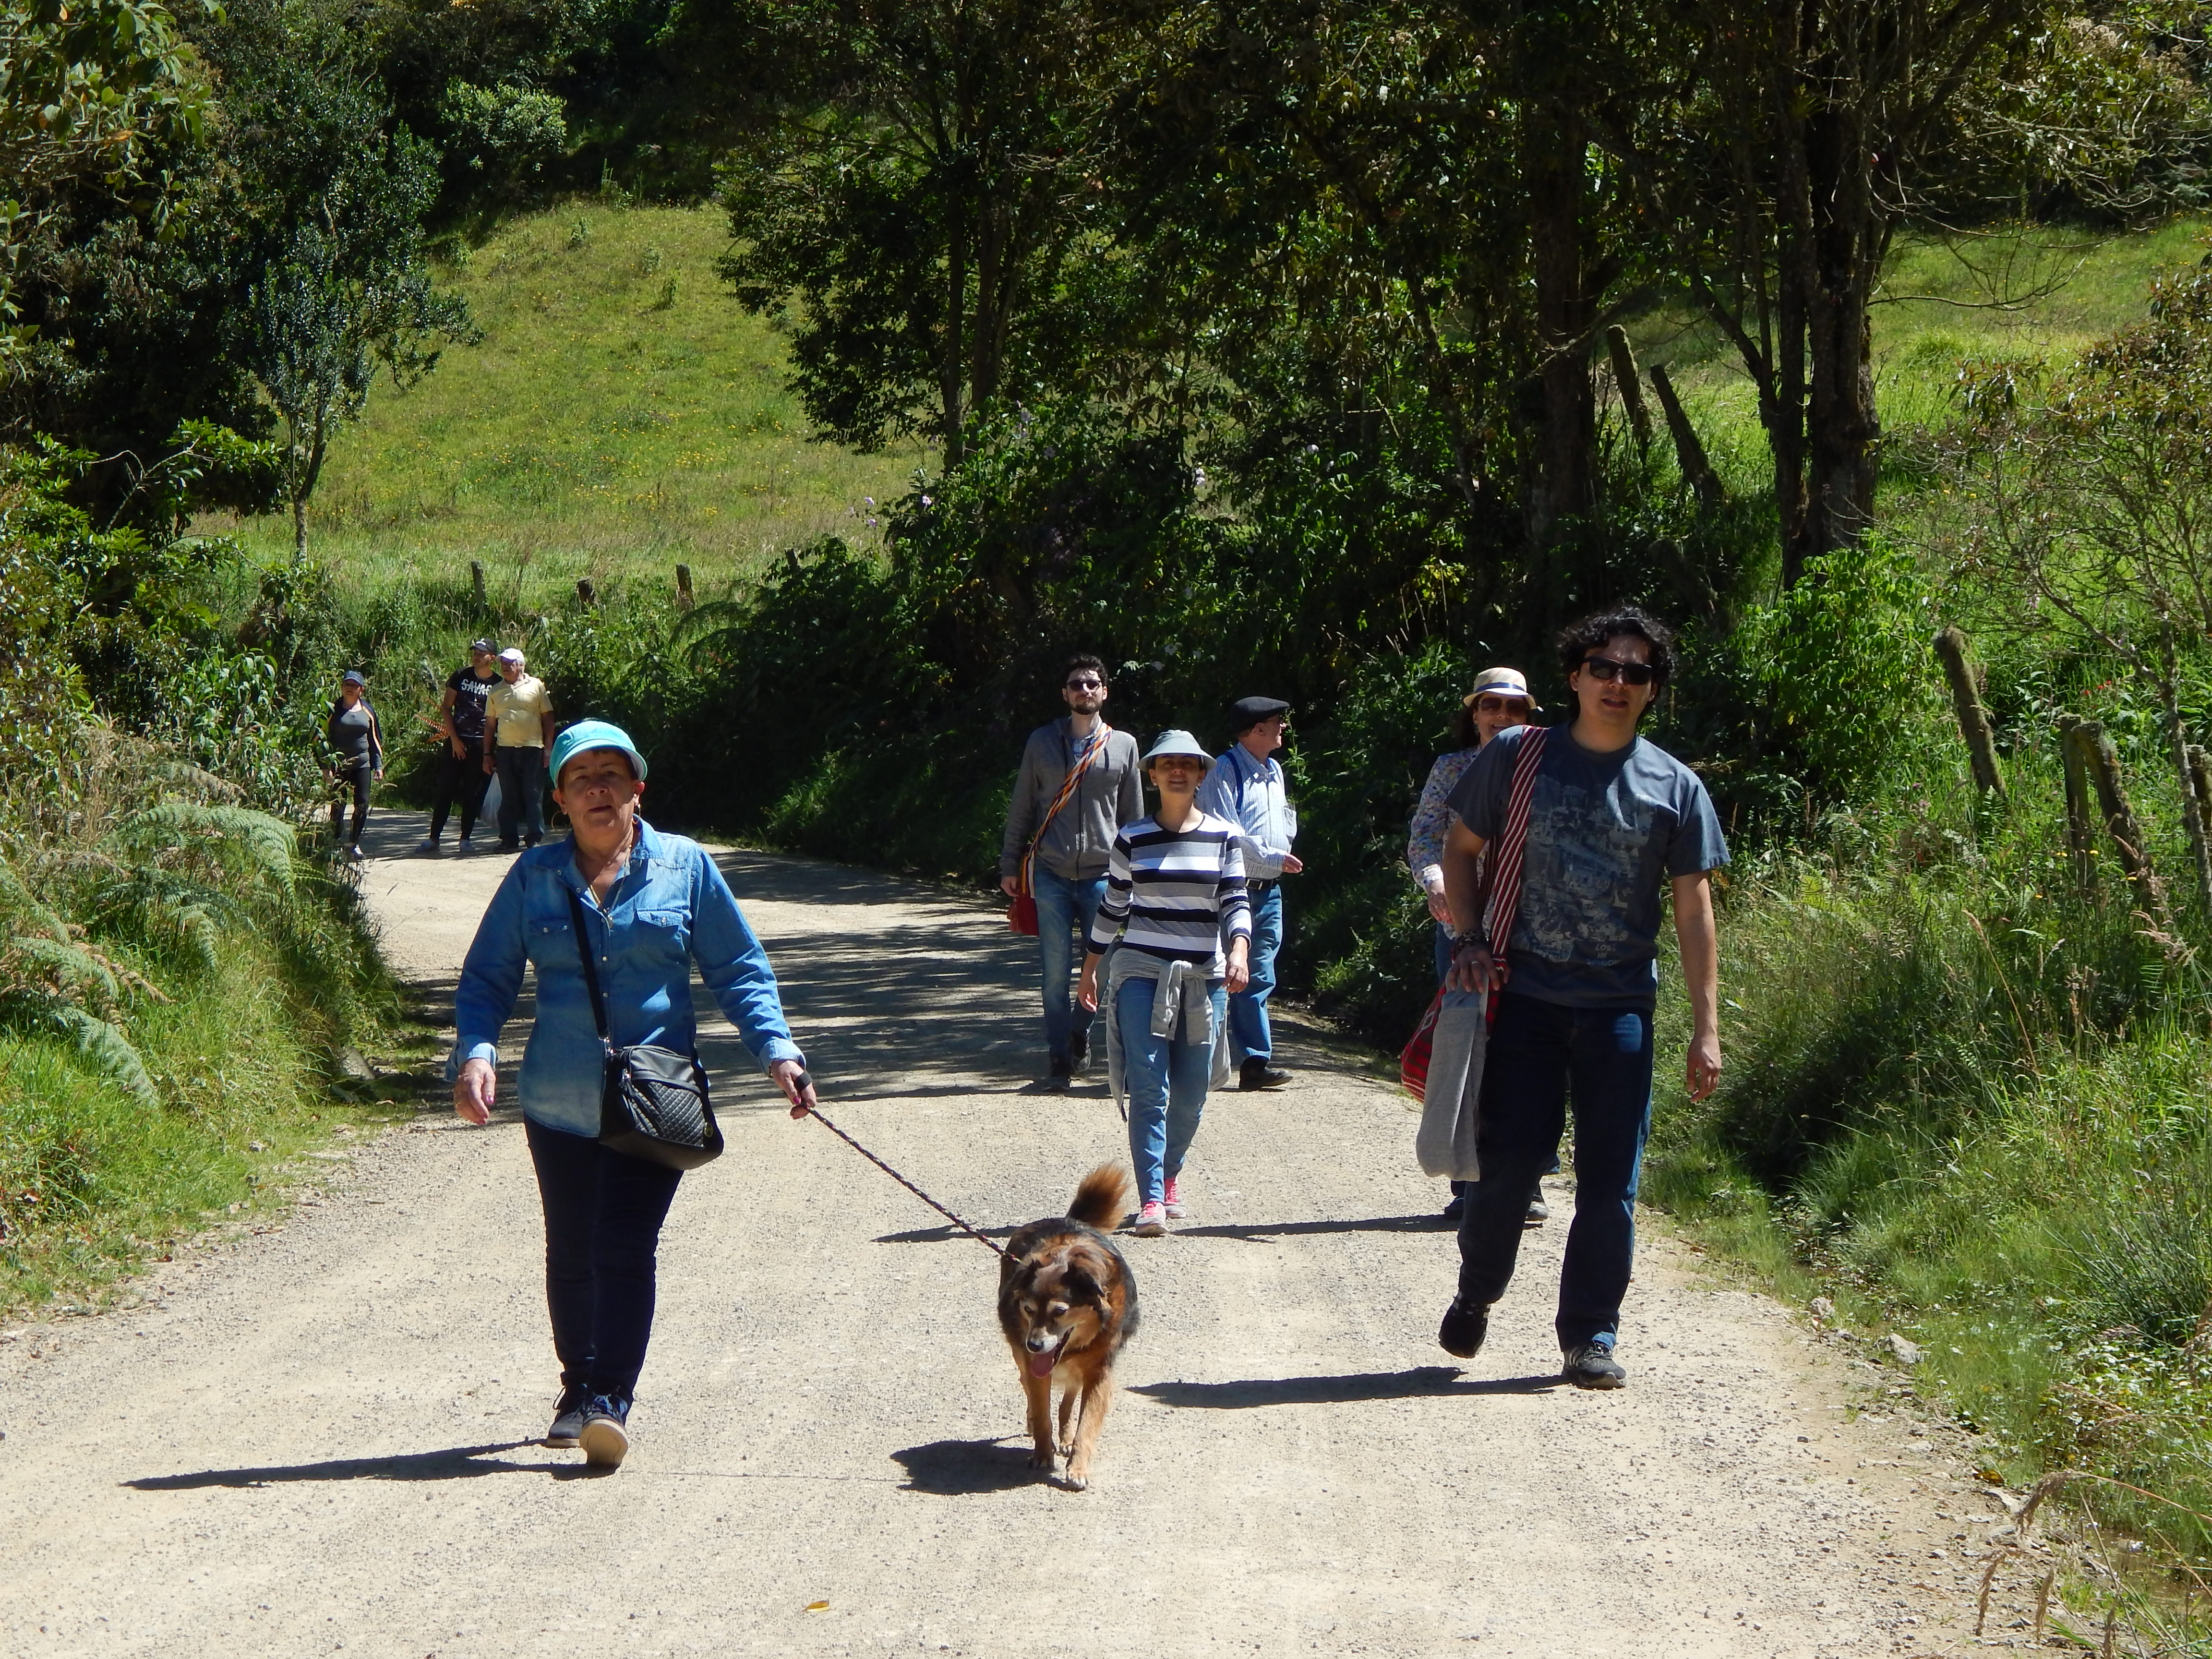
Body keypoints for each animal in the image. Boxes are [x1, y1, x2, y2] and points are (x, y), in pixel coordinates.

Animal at [1004, 1168, 1141, 1495]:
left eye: (1059, 1312)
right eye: (1028, 1310)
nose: (1034, 1345)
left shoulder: (1099, 1373)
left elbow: (1087, 1425)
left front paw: (1077, 1467)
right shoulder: (1036, 1367)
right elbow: (1042, 1414)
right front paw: (1043, 1455)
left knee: (1069, 1396)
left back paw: (1065, 1437)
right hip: (1022, 1356)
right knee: (1029, 1386)